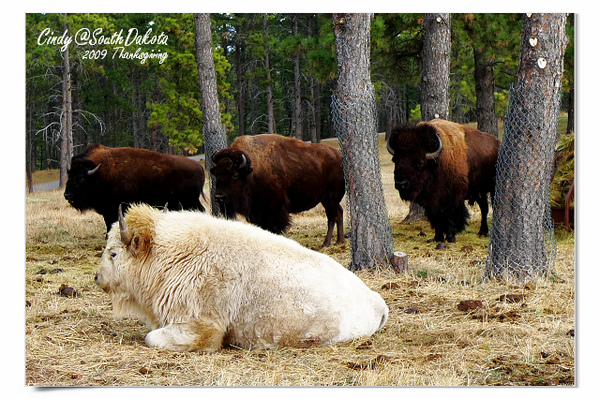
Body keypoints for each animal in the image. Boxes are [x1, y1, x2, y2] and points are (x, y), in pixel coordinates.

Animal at [64, 144, 206, 231]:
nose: (67, 195)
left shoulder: (114, 208)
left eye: (81, 179)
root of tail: (200, 167)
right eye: (69, 176)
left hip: (189, 200)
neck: (99, 173)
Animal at [95, 205, 390, 352]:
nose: (98, 278)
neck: (169, 255)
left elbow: (152, 338)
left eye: (113, 253)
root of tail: (376, 302)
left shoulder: (202, 326)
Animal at [210, 134, 344, 247]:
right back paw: (339, 241)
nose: (219, 197)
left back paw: (326, 243)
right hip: (326, 199)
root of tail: (339, 156)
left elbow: (274, 227)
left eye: (235, 175)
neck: (252, 172)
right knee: (339, 212)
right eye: (216, 175)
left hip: (331, 196)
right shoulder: (258, 211)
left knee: (332, 217)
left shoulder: (275, 208)